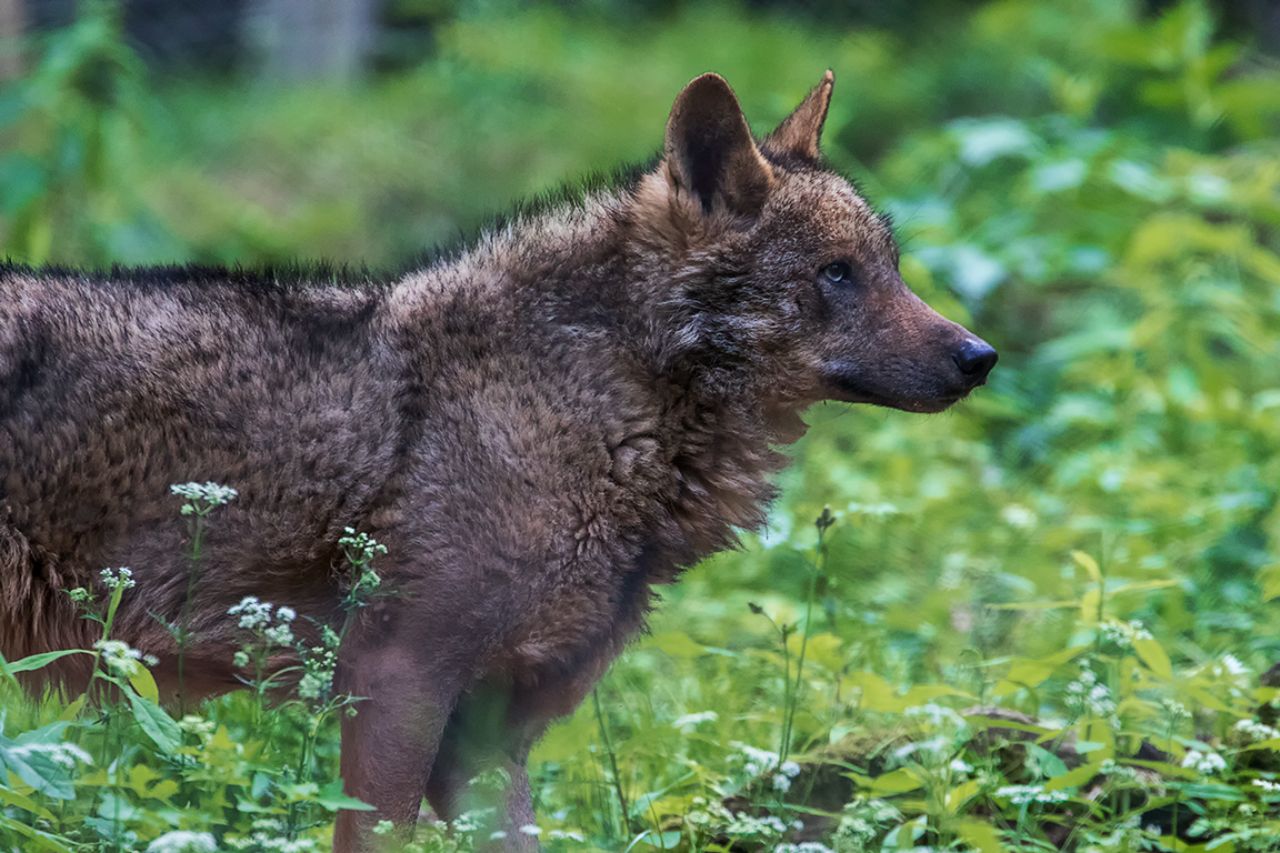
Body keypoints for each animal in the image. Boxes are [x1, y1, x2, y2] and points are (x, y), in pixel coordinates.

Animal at [0, 71, 995, 848]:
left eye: (889, 267)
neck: (596, 408)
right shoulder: (393, 688)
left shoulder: (486, 741)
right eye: (836, 274)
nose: (980, 357)